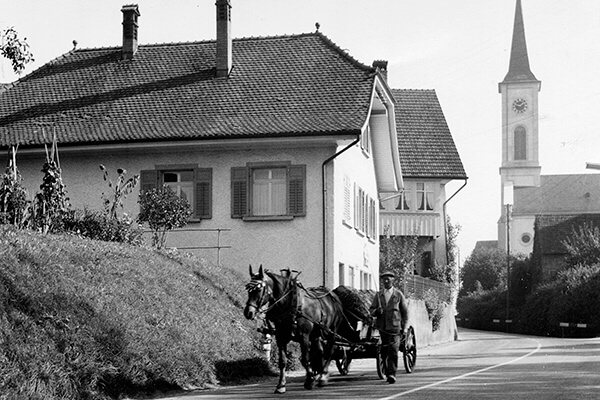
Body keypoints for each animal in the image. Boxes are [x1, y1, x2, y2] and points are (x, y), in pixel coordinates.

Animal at [244, 264, 346, 392]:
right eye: (248, 290)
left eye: (258, 289)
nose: (248, 312)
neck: (291, 304)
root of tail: (333, 296)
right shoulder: (281, 337)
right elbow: (283, 361)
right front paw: (281, 385)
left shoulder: (304, 337)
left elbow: (305, 359)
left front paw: (310, 380)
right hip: (316, 334)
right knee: (320, 352)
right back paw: (320, 374)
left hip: (331, 331)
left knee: (330, 351)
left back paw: (323, 376)